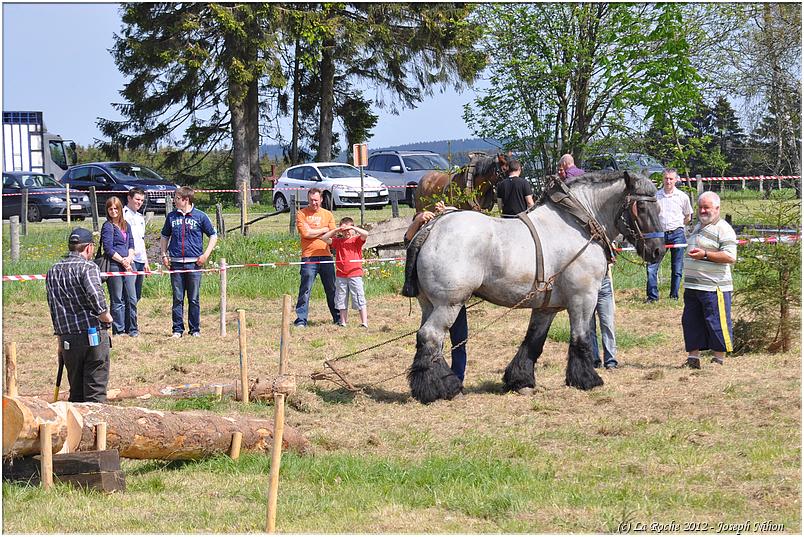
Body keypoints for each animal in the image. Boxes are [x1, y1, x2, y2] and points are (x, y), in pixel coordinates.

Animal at [406, 172, 664, 402]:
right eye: (641, 207)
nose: (658, 250)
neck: (579, 223)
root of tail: (430, 228)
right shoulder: (583, 298)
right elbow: (580, 338)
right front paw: (587, 379)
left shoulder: (545, 306)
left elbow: (533, 340)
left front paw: (521, 380)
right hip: (448, 304)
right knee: (431, 337)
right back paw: (442, 387)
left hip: (429, 304)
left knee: (427, 340)